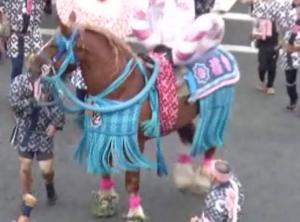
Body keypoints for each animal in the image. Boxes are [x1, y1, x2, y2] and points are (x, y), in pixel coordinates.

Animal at [29, 0, 240, 220]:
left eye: (55, 46)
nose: (31, 66)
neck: (120, 88)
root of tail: (221, 53)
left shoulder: (135, 141)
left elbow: (131, 179)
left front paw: (135, 212)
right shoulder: (107, 134)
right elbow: (105, 167)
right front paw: (105, 201)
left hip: (216, 111)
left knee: (210, 145)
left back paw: (204, 176)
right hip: (183, 117)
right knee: (189, 138)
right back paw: (185, 176)